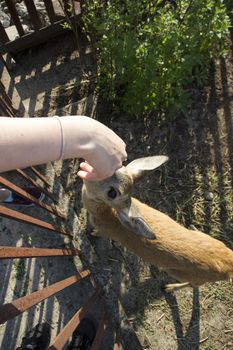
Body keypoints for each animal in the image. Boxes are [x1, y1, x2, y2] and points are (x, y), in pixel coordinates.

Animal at [81, 157, 233, 292]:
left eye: (112, 193)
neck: (105, 213)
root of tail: (229, 262)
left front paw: (93, 232)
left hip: (179, 273)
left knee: (194, 284)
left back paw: (169, 288)